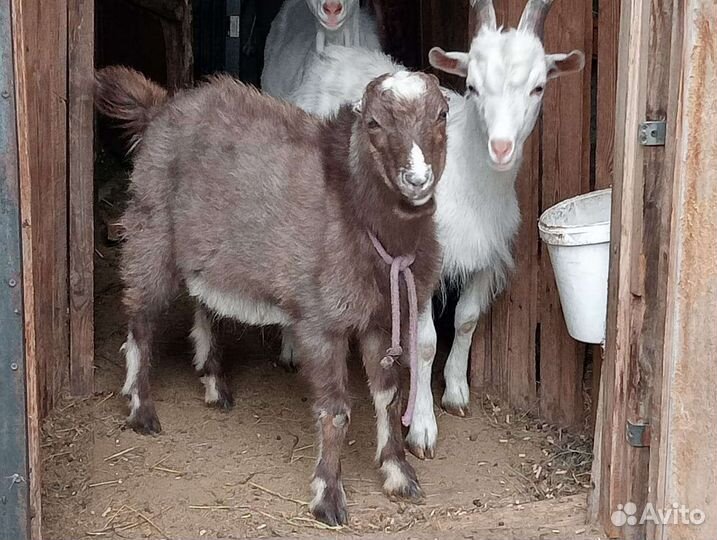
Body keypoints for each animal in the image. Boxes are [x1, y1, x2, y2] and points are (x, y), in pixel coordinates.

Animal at [95, 65, 449, 525]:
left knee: (202, 303)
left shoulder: (379, 318)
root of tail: (161, 107)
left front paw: (398, 475)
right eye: (373, 123)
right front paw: (328, 497)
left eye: (442, 114)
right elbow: (336, 411)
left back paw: (214, 383)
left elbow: (388, 397)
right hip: (151, 231)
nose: (417, 180)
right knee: (140, 321)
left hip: (205, 251)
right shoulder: (320, 322)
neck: (356, 213)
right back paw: (141, 409)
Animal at [281, 0, 585, 459]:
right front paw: (421, 428)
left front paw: (456, 391)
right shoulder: (420, 264)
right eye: (472, 86)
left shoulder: (485, 253)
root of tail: (332, 55)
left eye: (537, 88)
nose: (500, 147)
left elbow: (467, 320)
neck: (469, 180)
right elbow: (423, 343)